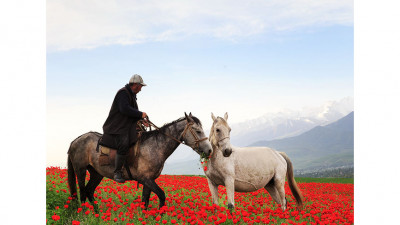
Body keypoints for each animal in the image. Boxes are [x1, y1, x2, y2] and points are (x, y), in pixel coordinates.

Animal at [67, 113, 212, 208]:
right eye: (198, 131)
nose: (209, 150)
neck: (155, 146)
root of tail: (75, 141)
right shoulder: (146, 179)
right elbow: (162, 195)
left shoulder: (148, 181)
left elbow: (145, 201)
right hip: (80, 170)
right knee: (82, 192)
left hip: (97, 173)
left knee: (89, 191)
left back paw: (96, 213)